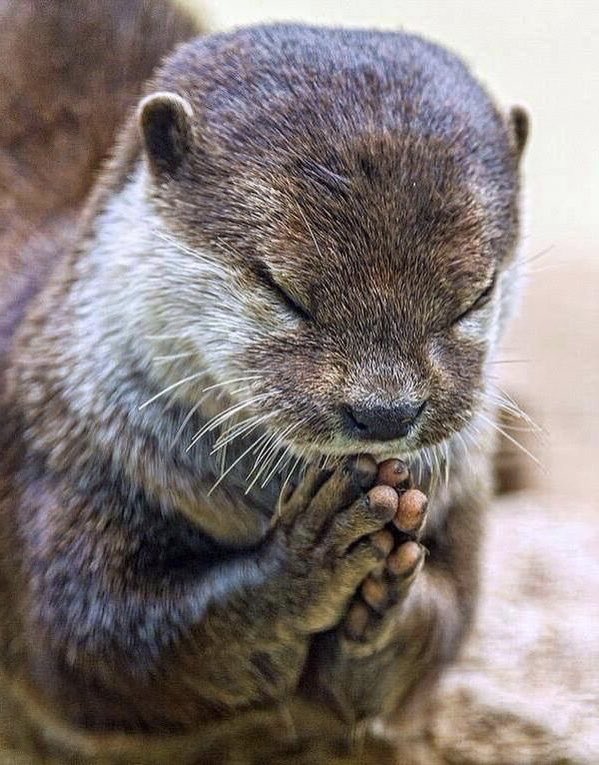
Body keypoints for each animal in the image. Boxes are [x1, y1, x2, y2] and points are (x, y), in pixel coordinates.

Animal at [0, 2, 529, 762]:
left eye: (473, 296)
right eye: (285, 291)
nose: (385, 411)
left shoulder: (462, 497)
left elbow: (447, 620)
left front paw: (387, 606)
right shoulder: (56, 452)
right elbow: (96, 644)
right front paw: (305, 562)